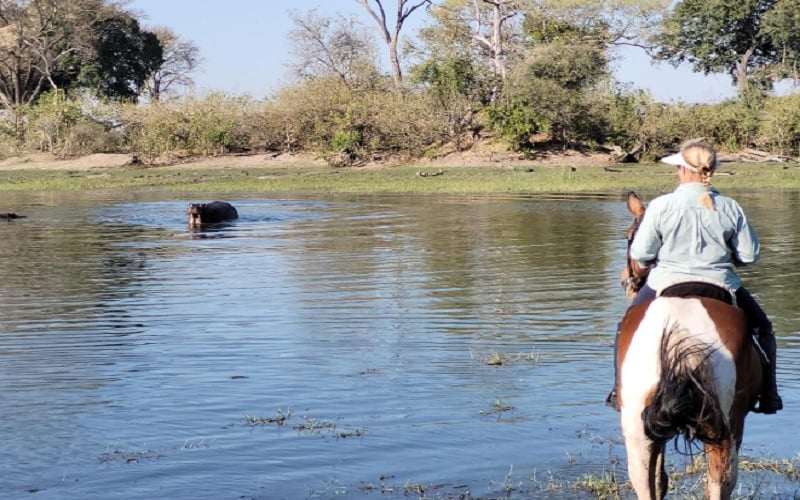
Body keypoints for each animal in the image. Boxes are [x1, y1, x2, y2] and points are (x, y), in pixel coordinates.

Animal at [615, 191, 763, 499]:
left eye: (629, 236)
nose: (626, 280)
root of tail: (680, 331)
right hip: (720, 428)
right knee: (717, 484)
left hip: (639, 426)